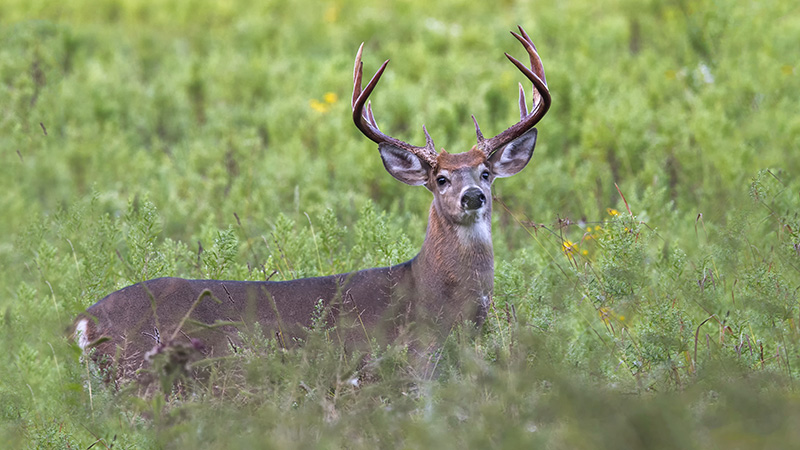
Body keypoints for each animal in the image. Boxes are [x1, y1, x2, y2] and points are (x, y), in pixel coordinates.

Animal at [74, 26, 551, 383]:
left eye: (486, 172)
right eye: (441, 179)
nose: (473, 196)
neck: (434, 298)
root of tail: (84, 322)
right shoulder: (408, 363)